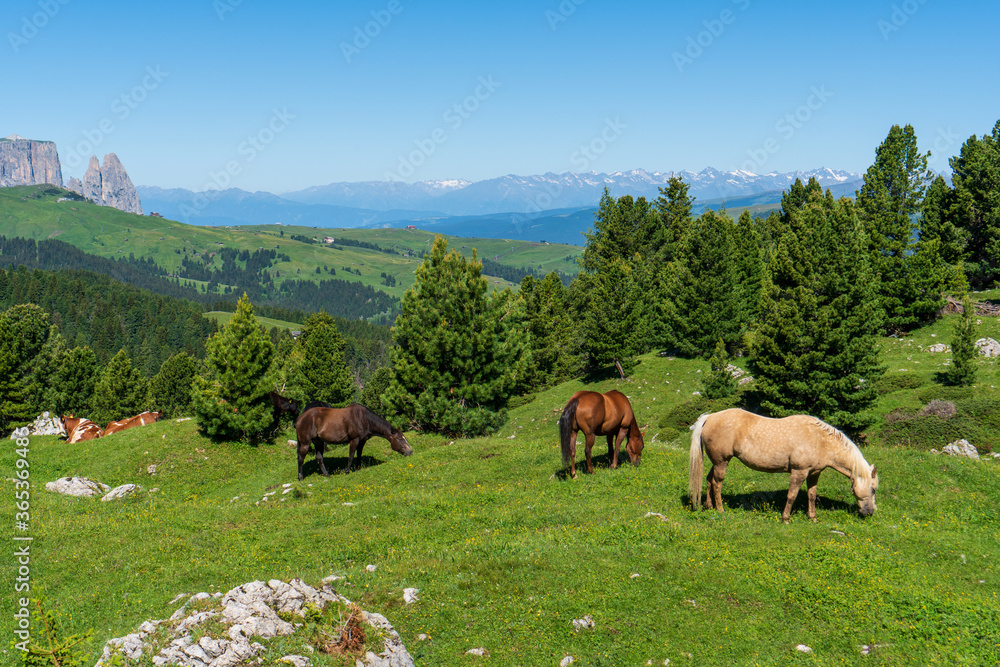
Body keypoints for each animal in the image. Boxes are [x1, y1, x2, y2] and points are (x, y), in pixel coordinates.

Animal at [688, 408, 879, 523]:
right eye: (873, 489)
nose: (870, 512)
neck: (820, 440)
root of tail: (709, 417)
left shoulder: (814, 473)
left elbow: (811, 495)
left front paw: (812, 518)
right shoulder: (799, 472)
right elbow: (791, 496)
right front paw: (785, 518)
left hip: (717, 462)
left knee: (708, 480)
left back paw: (709, 506)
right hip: (722, 462)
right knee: (717, 484)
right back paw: (721, 510)